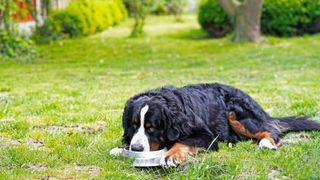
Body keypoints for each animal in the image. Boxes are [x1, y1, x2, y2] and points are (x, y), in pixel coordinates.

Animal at [110, 83, 320, 167]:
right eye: (134, 125)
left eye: (152, 127)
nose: (137, 149)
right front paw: (121, 148)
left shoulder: (206, 136)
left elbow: (181, 142)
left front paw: (172, 155)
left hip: (236, 113)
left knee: (269, 131)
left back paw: (266, 142)